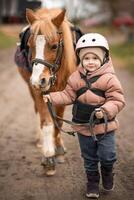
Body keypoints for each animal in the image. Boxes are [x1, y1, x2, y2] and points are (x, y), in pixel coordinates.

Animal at [15, 8, 76, 176]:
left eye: (54, 46)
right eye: (30, 45)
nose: (38, 80)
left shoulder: (64, 93)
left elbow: (58, 122)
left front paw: (58, 150)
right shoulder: (38, 92)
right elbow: (47, 123)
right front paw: (48, 157)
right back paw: (40, 140)